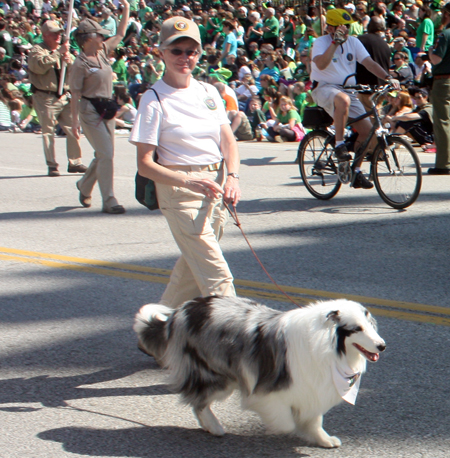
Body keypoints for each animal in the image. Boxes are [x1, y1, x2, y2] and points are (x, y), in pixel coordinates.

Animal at [134, 296, 386, 450]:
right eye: (357, 329)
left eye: (370, 326)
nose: (382, 346)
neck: (327, 343)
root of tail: (181, 310)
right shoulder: (268, 390)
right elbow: (285, 422)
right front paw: (277, 429)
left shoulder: (311, 389)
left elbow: (314, 420)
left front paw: (323, 439)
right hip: (217, 376)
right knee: (199, 402)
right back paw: (214, 427)